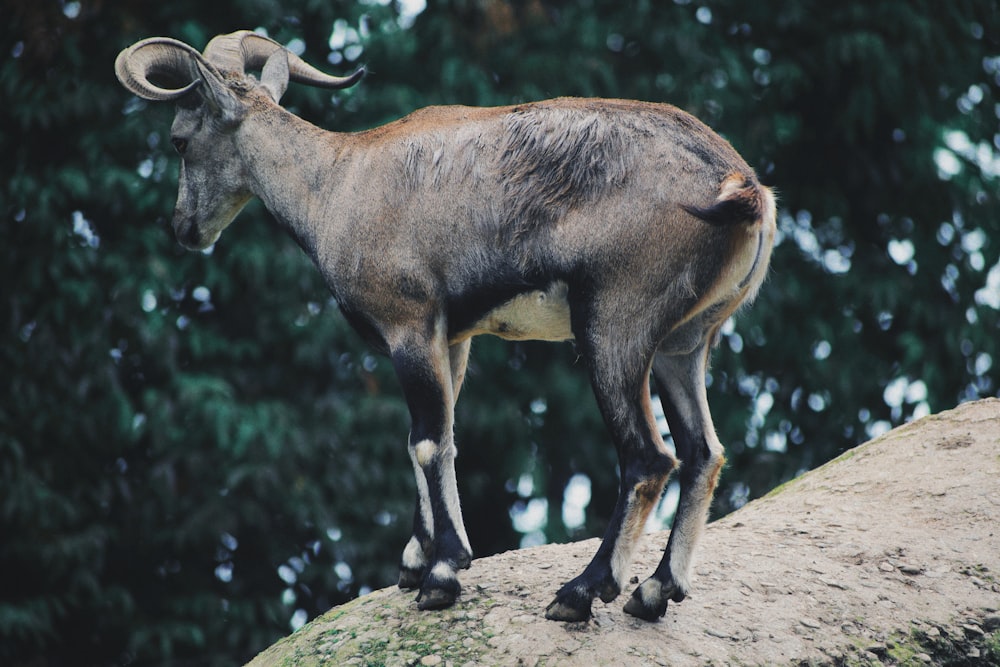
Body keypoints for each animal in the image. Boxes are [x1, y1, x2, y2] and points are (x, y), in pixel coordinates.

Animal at [115, 30, 772, 628]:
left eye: (179, 139)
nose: (184, 228)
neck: (336, 183)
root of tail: (740, 186)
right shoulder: (451, 339)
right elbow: (439, 434)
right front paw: (415, 561)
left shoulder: (409, 325)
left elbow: (427, 440)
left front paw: (443, 573)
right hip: (684, 344)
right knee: (703, 452)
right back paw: (656, 590)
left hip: (615, 325)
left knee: (648, 457)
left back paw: (582, 591)